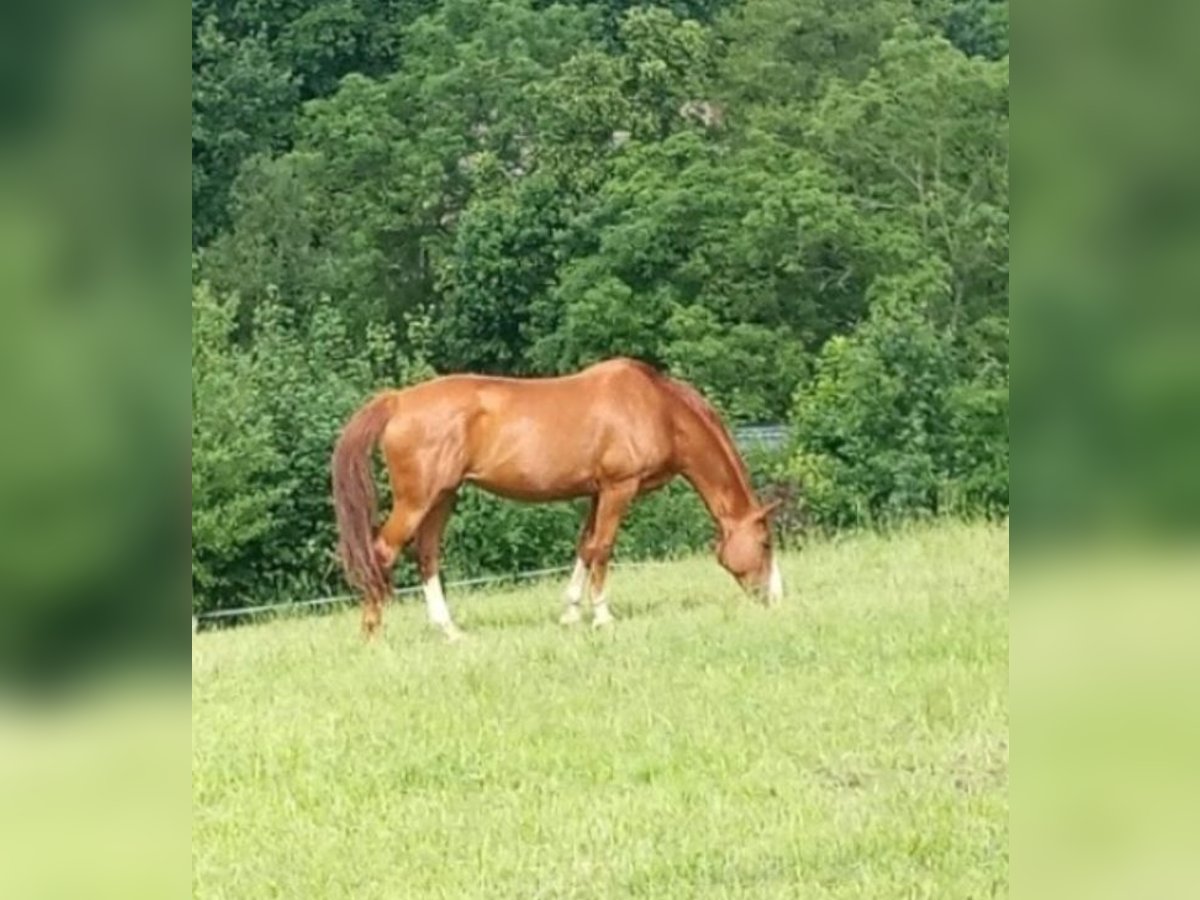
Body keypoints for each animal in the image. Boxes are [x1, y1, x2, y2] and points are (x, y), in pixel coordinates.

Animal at [331, 355, 777, 638]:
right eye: (766, 543)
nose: (773, 598)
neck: (658, 408)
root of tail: (397, 400)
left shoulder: (597, 493)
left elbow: (585, 547)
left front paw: (571, 614)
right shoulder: (619, 488)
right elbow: (603, 549)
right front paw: (602, 618)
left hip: (442, 497)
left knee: (427, 556)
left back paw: (449, 630)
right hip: (416, 500)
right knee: (382, 553)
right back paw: (372, 633)